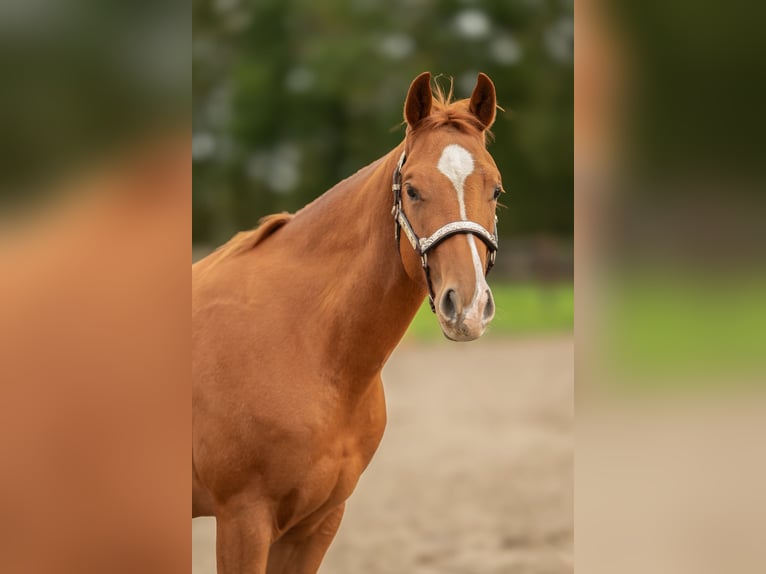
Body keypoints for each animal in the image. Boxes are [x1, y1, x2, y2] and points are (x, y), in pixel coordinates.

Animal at [194, 73, 504, 574]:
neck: (305, 346)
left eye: (495, 190)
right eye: (412, 190)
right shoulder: (243, 519)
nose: (468, 306)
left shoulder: (318, 521)